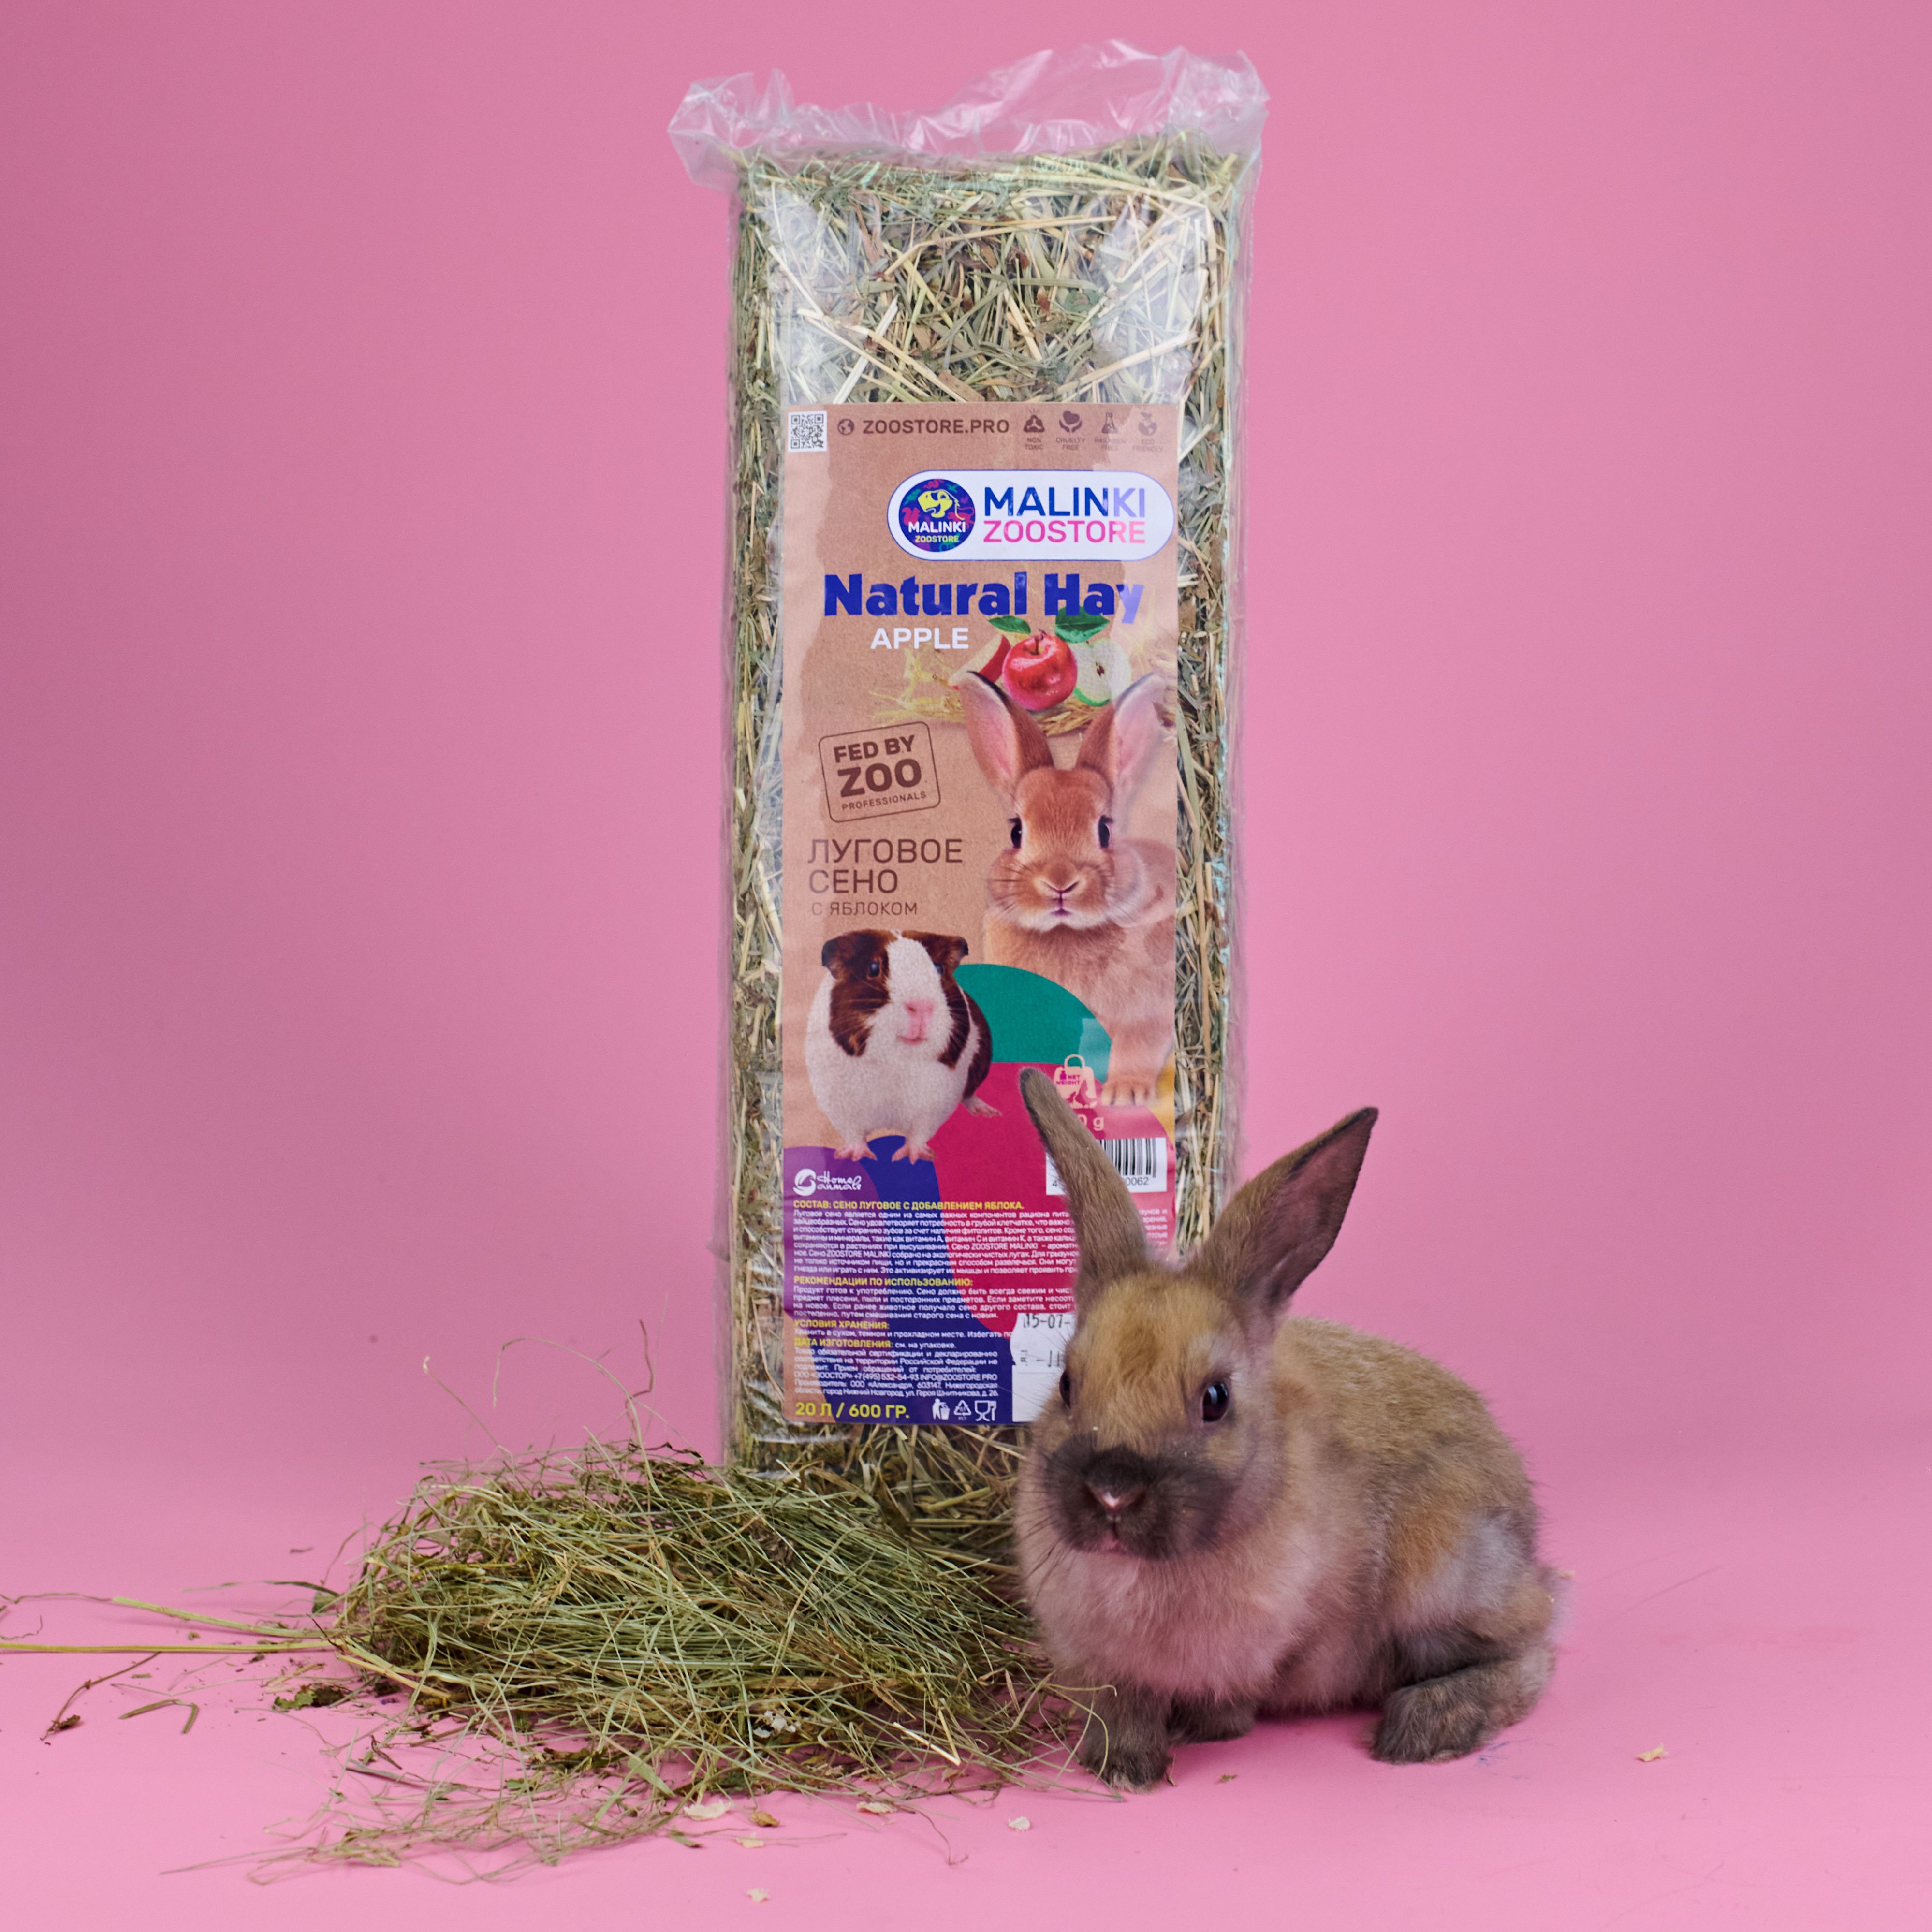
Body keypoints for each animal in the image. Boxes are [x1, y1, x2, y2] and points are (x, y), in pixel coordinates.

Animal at [805, 929, 996, 1163]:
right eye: (874, 969)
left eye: (938, 968)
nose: (922, 1006)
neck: (895, 1061)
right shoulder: (839, 1105)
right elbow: (854, 1135)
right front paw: (852, 1157)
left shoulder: (934, 1104)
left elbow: (919, 1135)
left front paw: (911, 1158)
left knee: (970, 1096)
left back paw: (988, 1113)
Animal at [956, 671, 1175, 1107]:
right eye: (1016, 832)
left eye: (1105, 830)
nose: (1060, 883)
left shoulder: (1146, 1012)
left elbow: (1135, 1047)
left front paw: (1124, 1095)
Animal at [1012, 1068, 1557, 1789]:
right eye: (1069, 1384)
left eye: (1215, 1399)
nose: (1112, 1491)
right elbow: (1117, 1710)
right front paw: (1125, 1764)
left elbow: (1235, 1702)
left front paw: (1188, 1736)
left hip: (1444, 1575)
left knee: (1533, 1648)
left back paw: (1423, 1727)